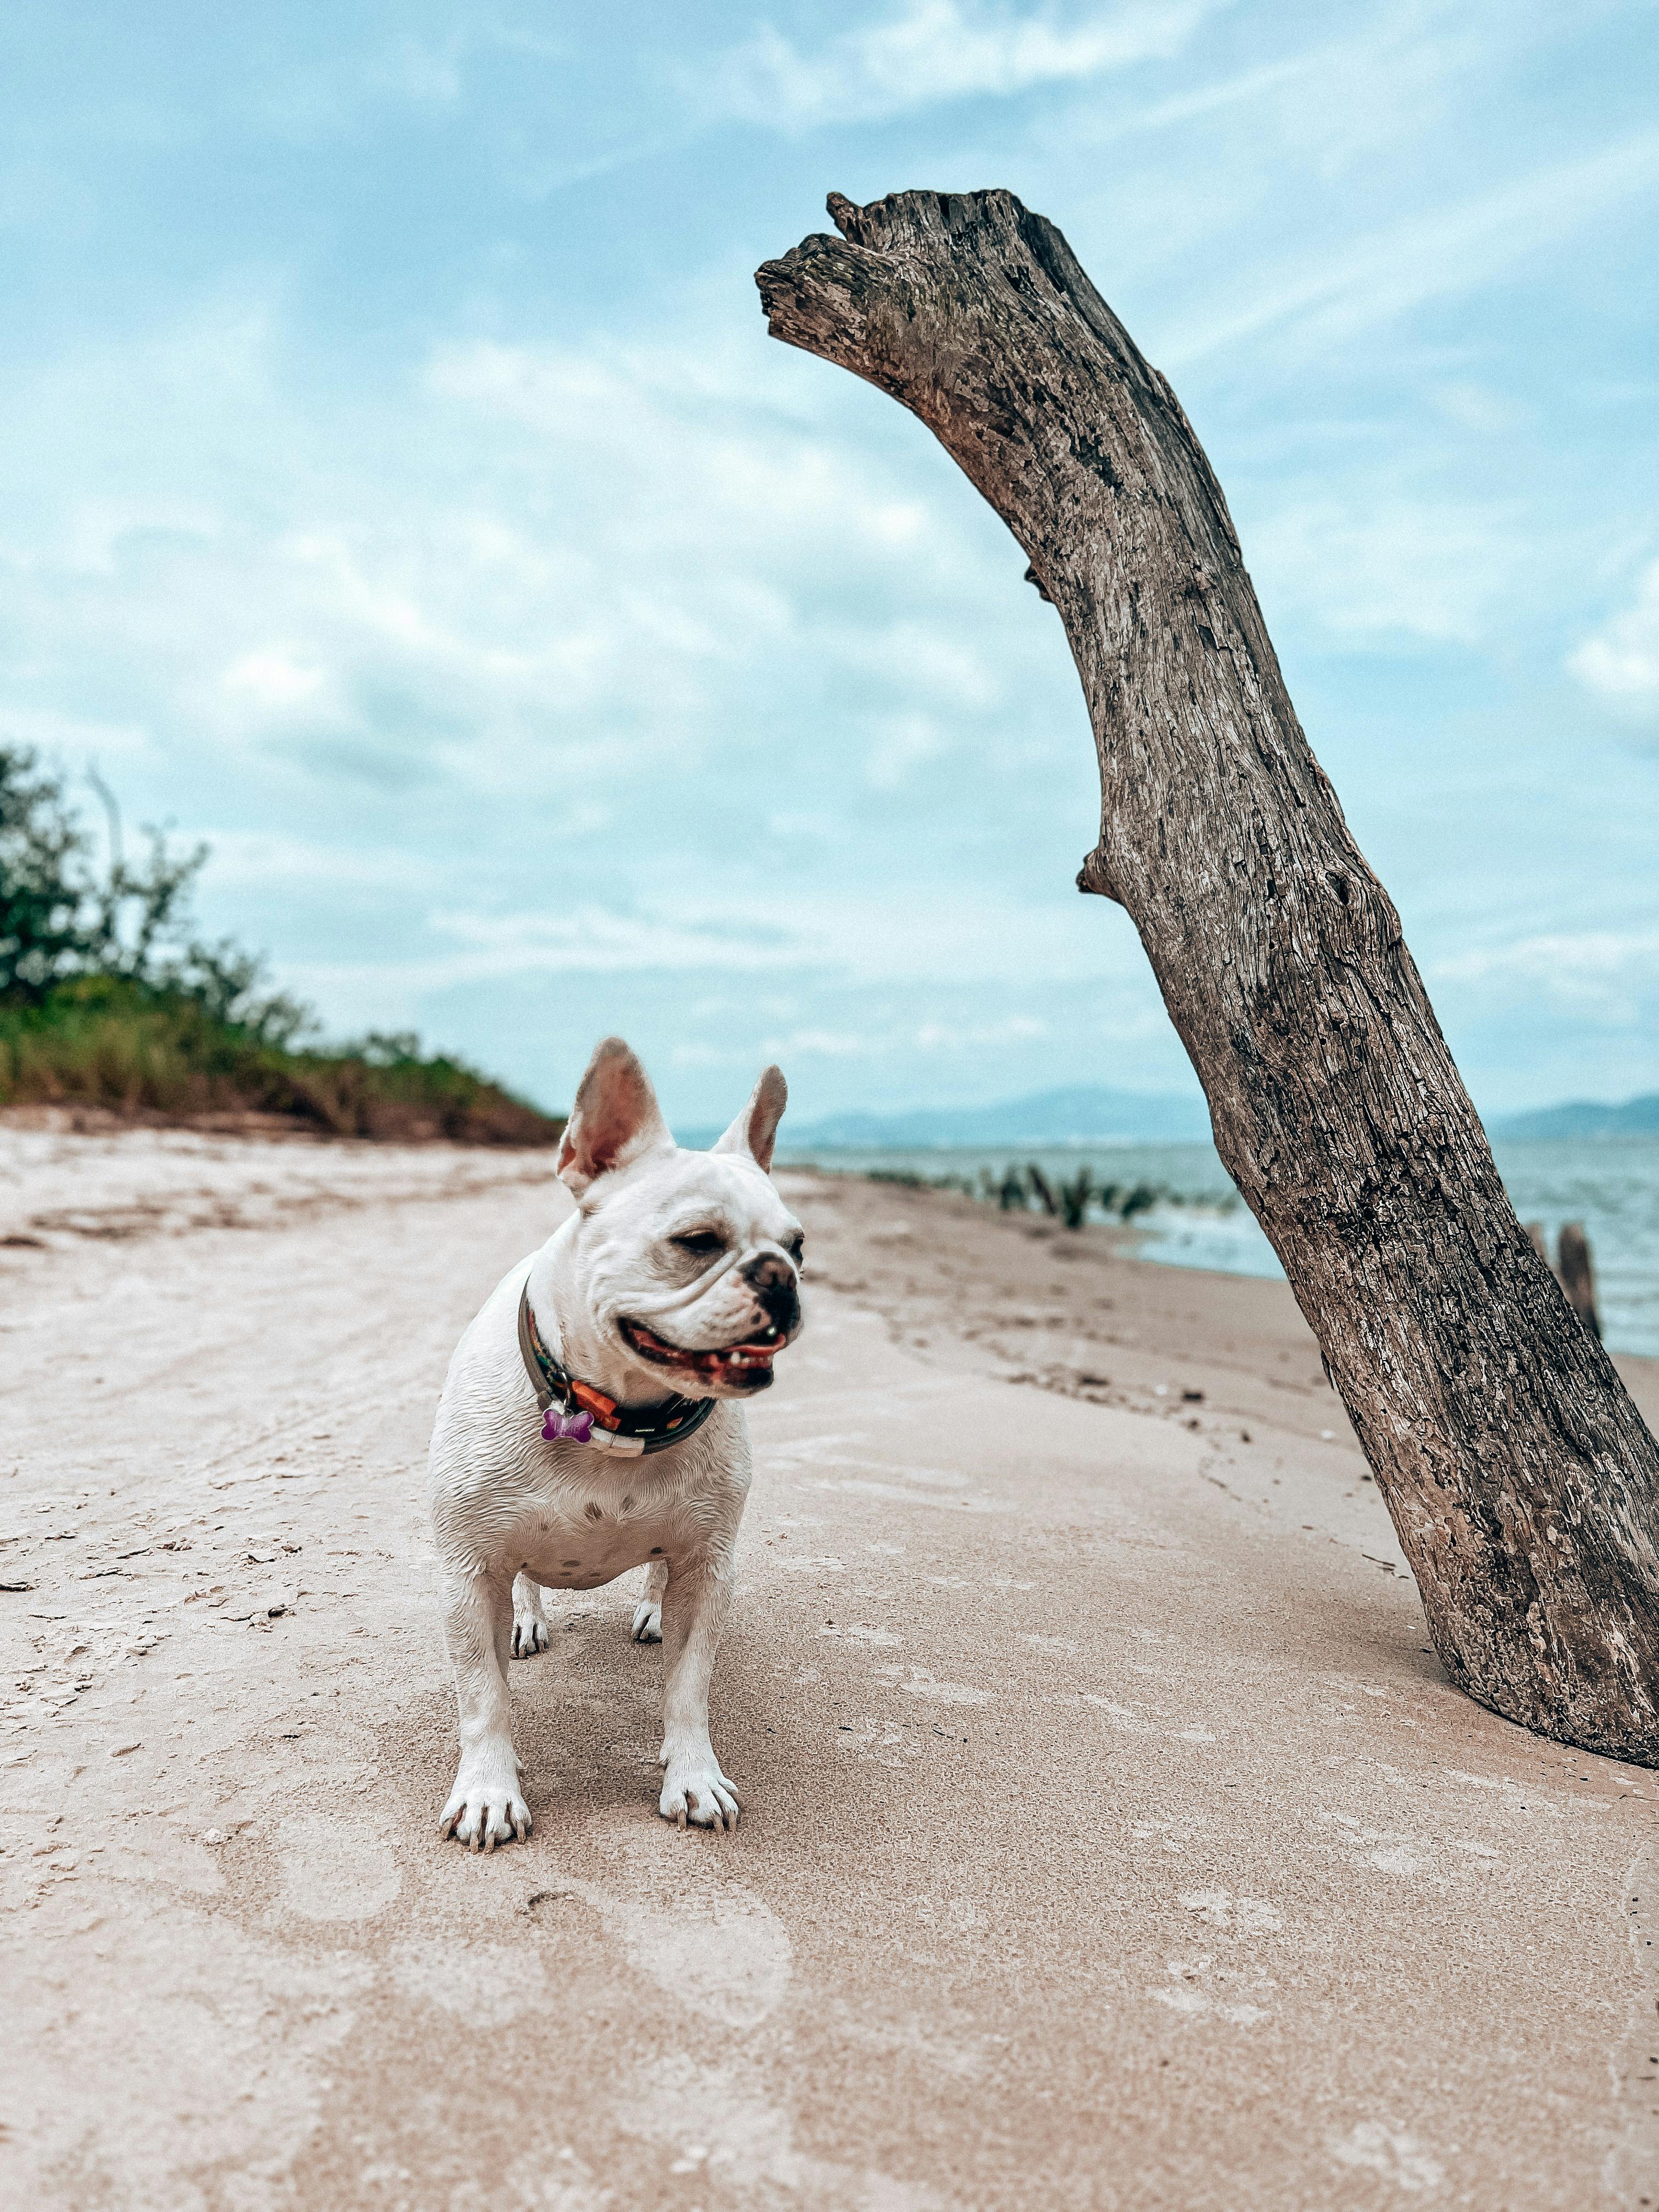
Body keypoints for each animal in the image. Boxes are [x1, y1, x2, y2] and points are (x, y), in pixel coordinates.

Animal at [422, 1035, 800, 1849]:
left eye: (799, 1246)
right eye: (697, 1243)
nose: (780, 1275)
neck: (619, 1417)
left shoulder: (708, 1567)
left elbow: (690, 1688)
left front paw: (692, 1776)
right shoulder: (469, 1573)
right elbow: (483, 1696)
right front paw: (489, 1790)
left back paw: (652, 1610)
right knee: (524, 1588)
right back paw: (528, 1621)